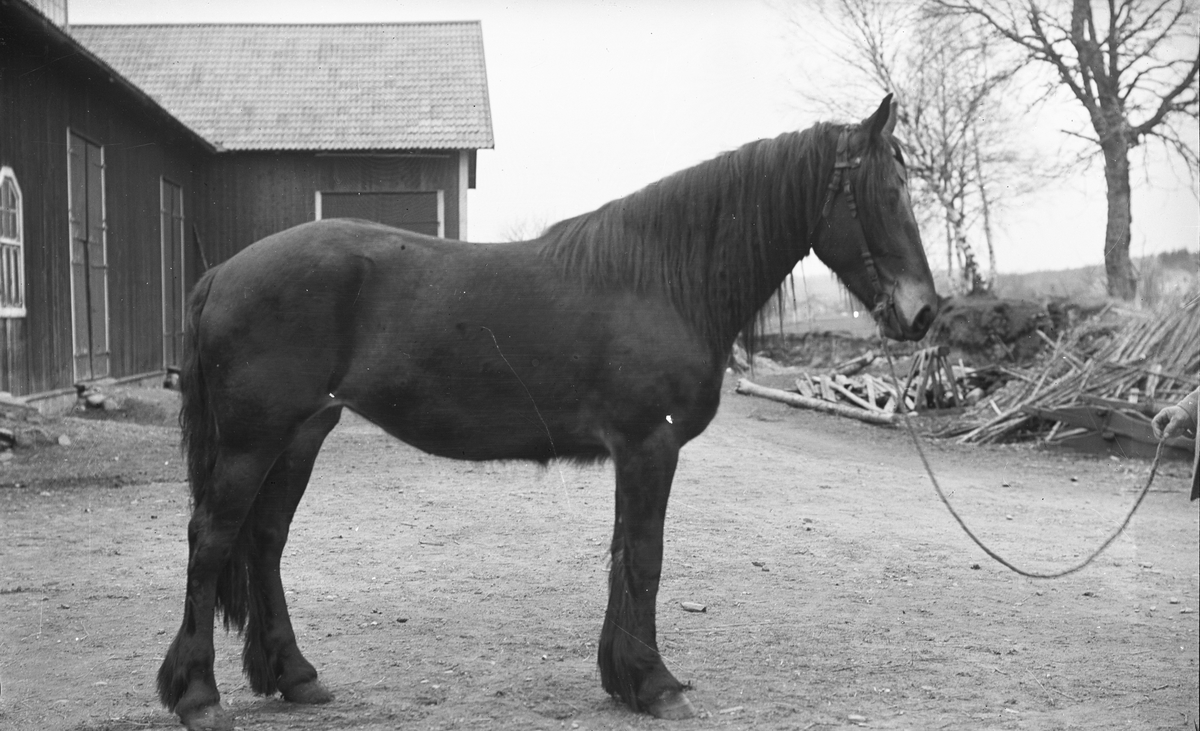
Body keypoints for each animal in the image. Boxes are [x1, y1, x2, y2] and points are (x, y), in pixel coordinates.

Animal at [156, 94, 937, 731]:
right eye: (884, 191)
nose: (923, 313)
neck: (661, 278)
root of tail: (221, 274)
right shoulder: (649, 446)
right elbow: (646, 558)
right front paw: (656, 685)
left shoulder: (635, 452)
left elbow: (625, 555)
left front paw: (625, 678)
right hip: (255, 440)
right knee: (211, 539)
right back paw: (198, 696)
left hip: (301, 434)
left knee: (264, 541)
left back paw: (295, 676)